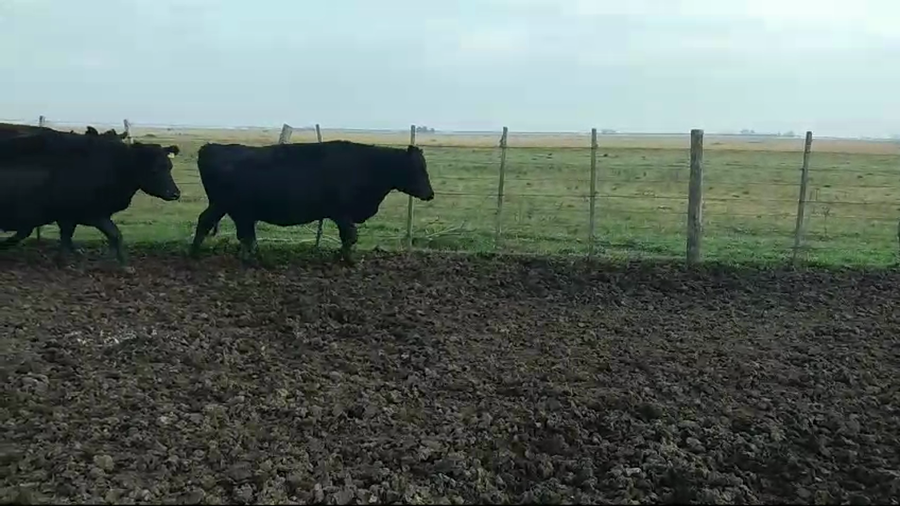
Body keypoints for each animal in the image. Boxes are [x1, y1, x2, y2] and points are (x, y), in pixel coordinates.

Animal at [0, 129, 181, 265]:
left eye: (169, 166)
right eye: (154, 169)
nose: (175, 193)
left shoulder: (74, 216)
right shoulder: (88, 214)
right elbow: (114, 234)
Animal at [189, 140, 435, 265]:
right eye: (417, 167)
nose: (430, 193)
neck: (367, 165)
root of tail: (211, 147)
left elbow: (348, 237)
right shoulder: (342, 213)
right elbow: (350, 236)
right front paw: (349, 260)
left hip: (237, 210)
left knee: (245, 234)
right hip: (223, 205)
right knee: (207, 222)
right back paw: (195, 254)